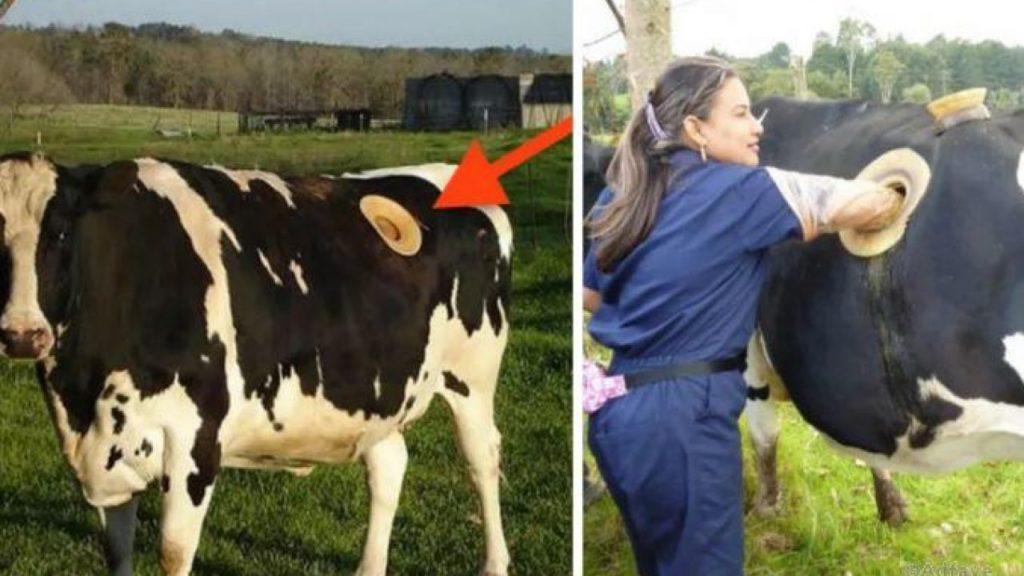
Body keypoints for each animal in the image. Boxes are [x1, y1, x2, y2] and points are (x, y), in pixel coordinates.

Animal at [0, 151, 513, 575]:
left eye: (61, 232)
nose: (22, 334)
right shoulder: (107, 450)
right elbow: (117, 553)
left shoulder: (194, 442)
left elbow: (173, 553)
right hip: (380, 392)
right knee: (389, 467)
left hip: (473, 380)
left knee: (482, 461)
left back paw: (494, 563)